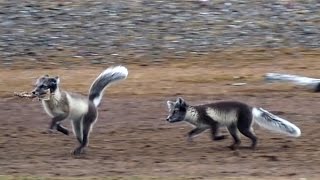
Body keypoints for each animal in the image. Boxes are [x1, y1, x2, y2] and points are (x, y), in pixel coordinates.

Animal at [166, 97, 302, 150]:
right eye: (171, 111)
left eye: (175, 112)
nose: (167, 119)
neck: (195, 113)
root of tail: (250, 107)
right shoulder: (202, 127)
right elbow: (190, 133)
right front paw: (190, 141)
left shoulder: (213, 123)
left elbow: (213, 136)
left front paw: (221, 137)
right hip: (232, 127)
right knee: (239, 140)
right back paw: (232, 147)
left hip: (242, 126)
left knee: (254, 137)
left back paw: (252, 147)